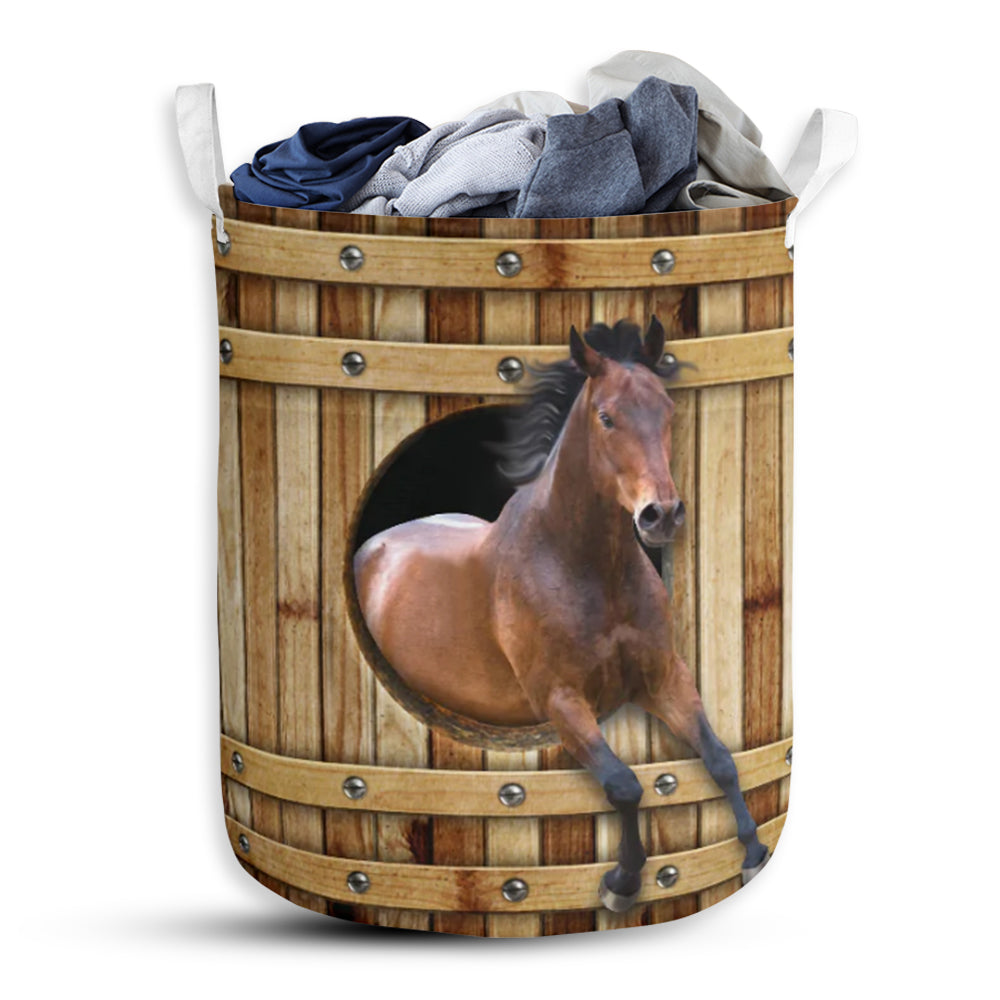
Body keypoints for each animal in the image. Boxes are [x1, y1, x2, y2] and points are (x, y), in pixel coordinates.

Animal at [353, 317, 769, 911]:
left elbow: (720, 759)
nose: (662, 515)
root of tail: (375, 545)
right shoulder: (562, 701)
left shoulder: (664, 677)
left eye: (667, 409)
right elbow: (624, 785)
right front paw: (622, 882)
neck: (587, 571)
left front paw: (753, 853)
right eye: (606, 417)